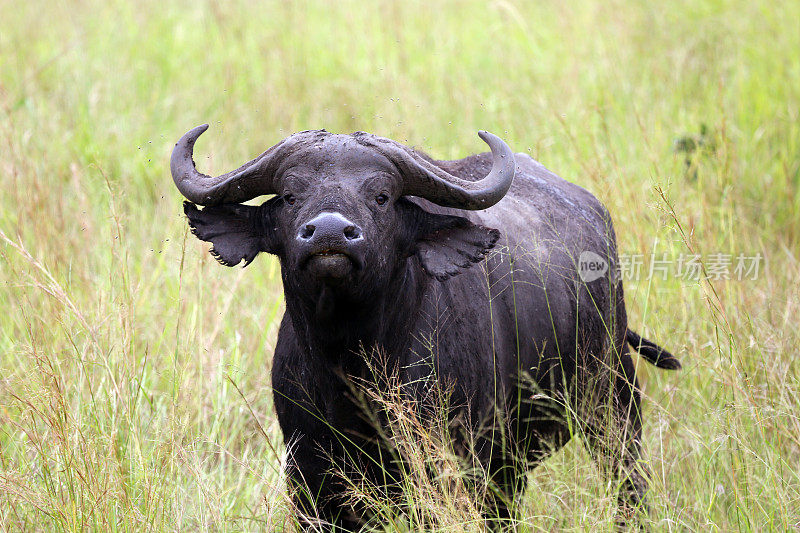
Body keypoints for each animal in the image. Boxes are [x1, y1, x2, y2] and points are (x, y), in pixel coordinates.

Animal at [170, 123, 680, 528]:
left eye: (381, 196)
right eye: (292, 195)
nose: (331, 233)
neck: (350, 362)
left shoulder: (451, 468)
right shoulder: (312, 482)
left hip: (612, 407)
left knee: (628, 484)